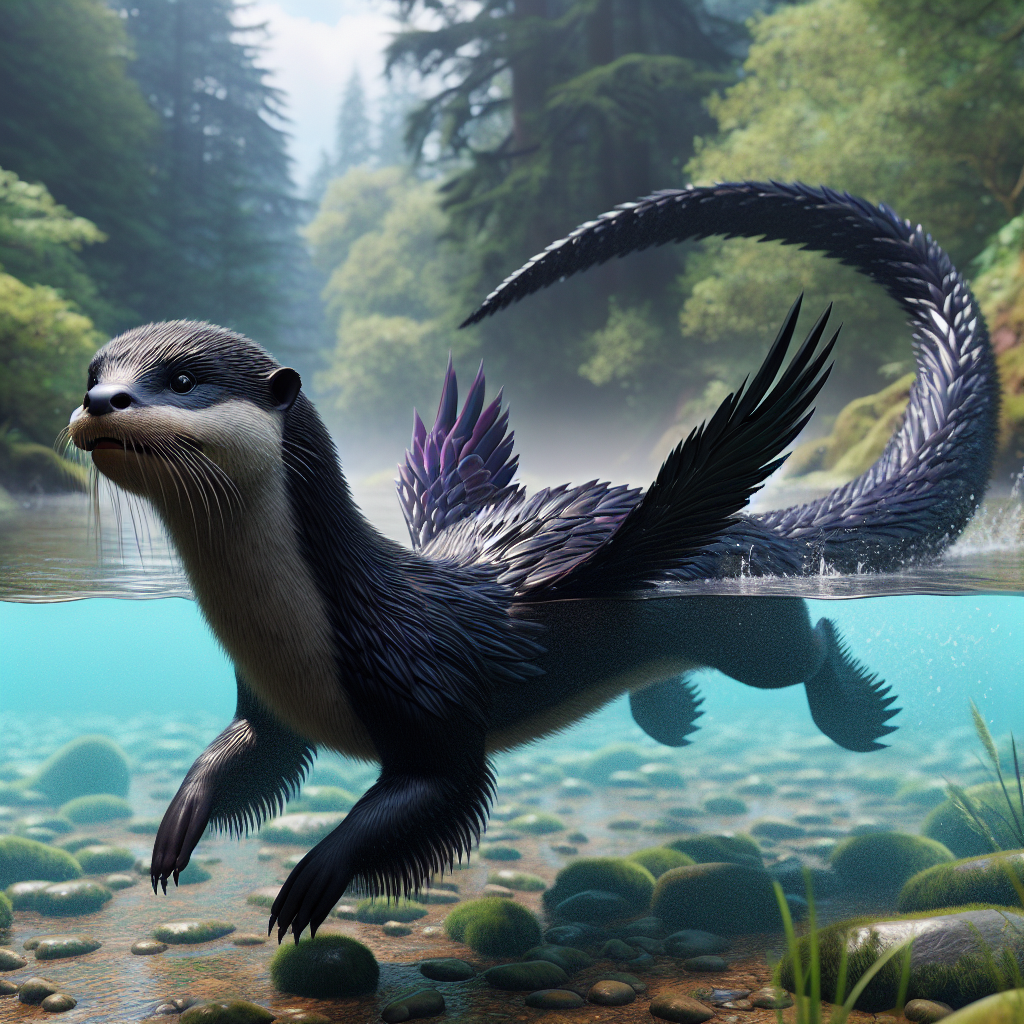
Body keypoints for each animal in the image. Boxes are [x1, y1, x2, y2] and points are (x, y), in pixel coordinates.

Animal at [68, 182, 997, 944]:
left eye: (181, 379)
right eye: (94, 371)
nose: (100, 403)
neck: (332, 622)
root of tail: (759, 527)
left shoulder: (434, 702)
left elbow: (432, 795)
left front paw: (311, 881)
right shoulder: (273, 706)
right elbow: (248, 756)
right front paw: (177, 825)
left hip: (746, 622)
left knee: (807, 642)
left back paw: (853, 710)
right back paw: (670, 710)